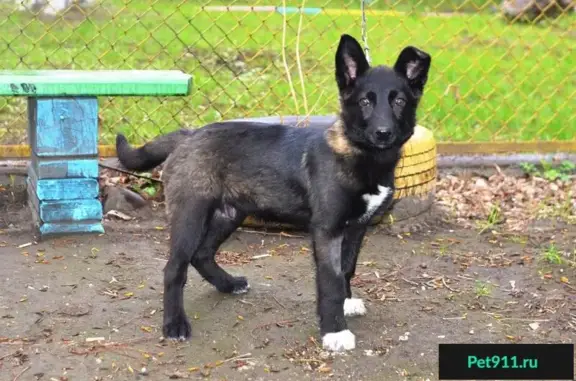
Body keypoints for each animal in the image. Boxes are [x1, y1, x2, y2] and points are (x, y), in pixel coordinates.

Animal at [117, 35, 430, 350]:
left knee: (201, 255)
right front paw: (334, 330)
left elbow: (347, 269)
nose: (383, 133)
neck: (364, 156)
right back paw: (175, 324)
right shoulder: (327, 230)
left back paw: (228, 284)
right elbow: (330, 279)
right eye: (365, 101)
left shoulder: (357, 227)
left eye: (399, 101)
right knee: (175, 268)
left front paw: (346, 302)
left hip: (229, 214)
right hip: (190, 214)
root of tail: (188, 134)